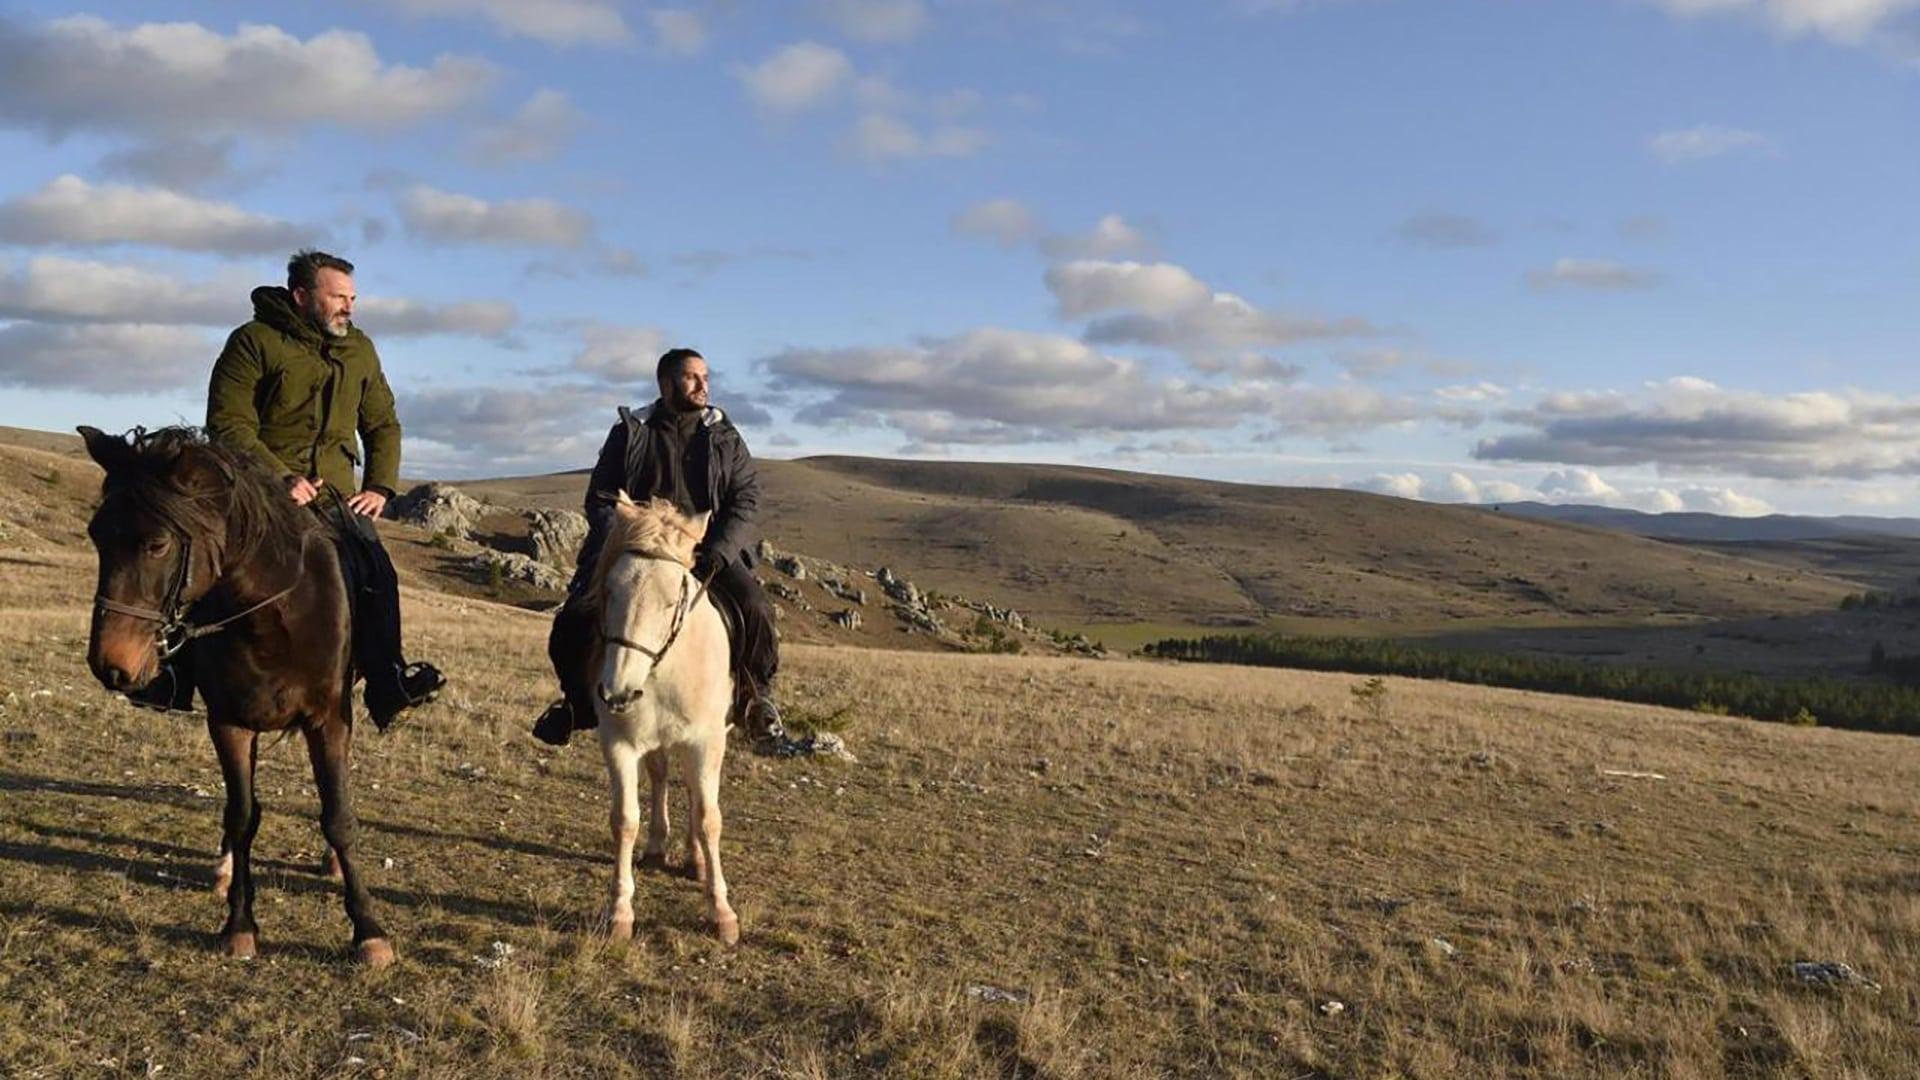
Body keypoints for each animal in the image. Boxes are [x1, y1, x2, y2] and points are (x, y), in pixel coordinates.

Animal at [81, 424, 393, 960]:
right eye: (96, 534)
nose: (110, 664)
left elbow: (338, 816)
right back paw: (224, 870)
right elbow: (242, 815)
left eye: (157, 544)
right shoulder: (228, 720)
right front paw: (240, 924)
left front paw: (369, 931)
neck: (272, 614)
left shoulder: (329, 720)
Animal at [583, 491, 733, 937]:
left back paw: (696, 859)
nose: (617, 691)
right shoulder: (617, 741)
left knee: (693, 790)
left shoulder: (706, 741)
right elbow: (624, 820)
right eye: (610, 589)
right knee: (662, 775)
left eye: (672, 601)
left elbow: (708, 816)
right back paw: (656, 847)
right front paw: (619, 910)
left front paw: (721, 911)